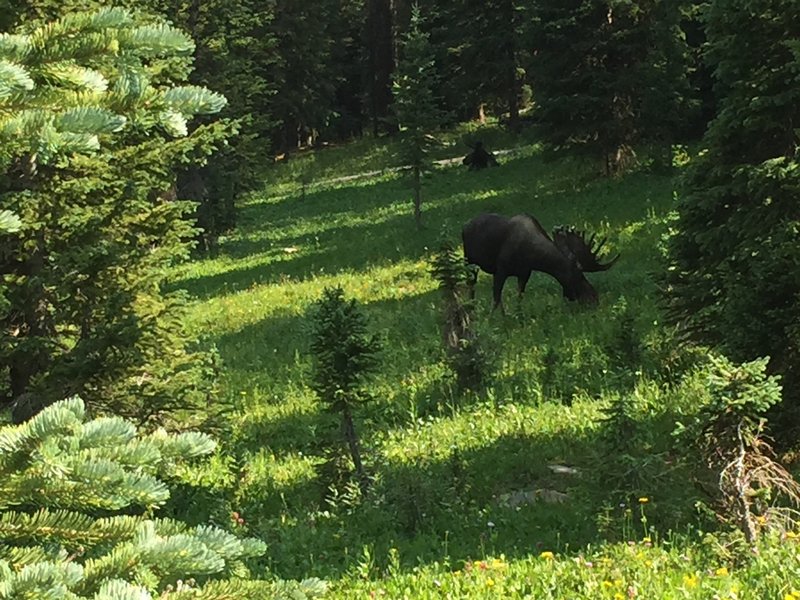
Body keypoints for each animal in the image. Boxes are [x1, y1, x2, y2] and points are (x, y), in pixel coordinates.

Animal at [462, 213, 620, 312]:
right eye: (578, 276)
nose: (594, 299)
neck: (533, 257)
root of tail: (465, 227)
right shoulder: (501, 269)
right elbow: (495, 300)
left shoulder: (525, 273)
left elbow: (518, 298)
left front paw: (518, 317)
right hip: (468, 261)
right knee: (470, 286)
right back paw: (470, 309)